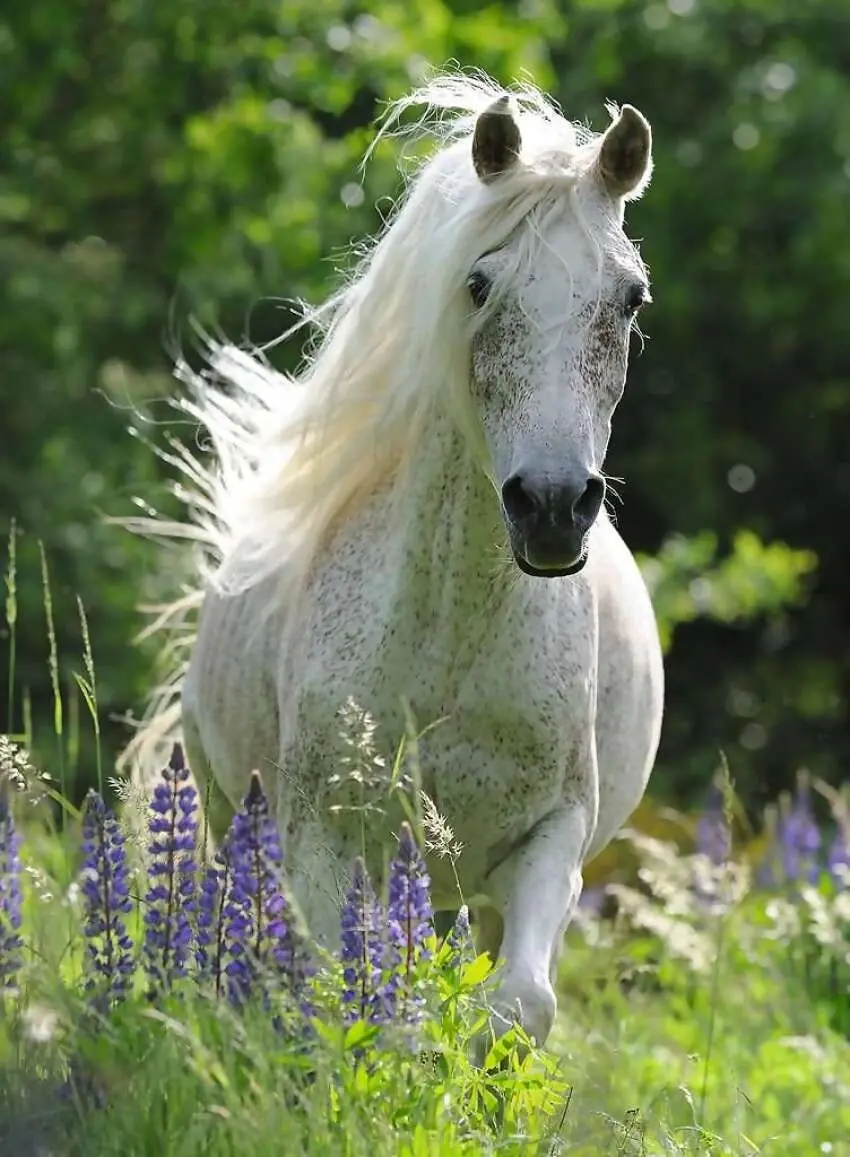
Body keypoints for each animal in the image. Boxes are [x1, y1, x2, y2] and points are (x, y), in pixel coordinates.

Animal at [124, 72, 666, 1050]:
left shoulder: (549, 840)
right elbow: (343, 998)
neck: (451, 637)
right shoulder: (322, 840)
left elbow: (517, 1006)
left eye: (630, 297)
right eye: (480, 282)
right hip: (232, 815)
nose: (552, 508)